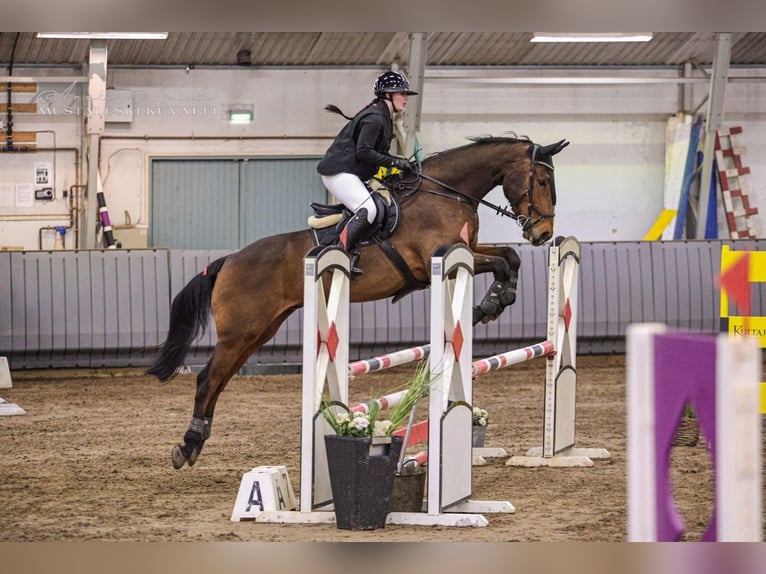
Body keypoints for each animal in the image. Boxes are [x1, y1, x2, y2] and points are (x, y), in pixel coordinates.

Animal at [147, 136, 568, 472]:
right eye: (542, 181)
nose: (543, 232)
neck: (445, 193)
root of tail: (229, 260)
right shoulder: (438, 256)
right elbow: (502, 261)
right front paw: (493, 303)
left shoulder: (468, 249)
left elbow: (508, 257)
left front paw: (496, 299)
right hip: (241, 331)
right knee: (207, 379)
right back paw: (187, 446)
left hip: (258, 331)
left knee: (219, 380)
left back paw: (195, 442)